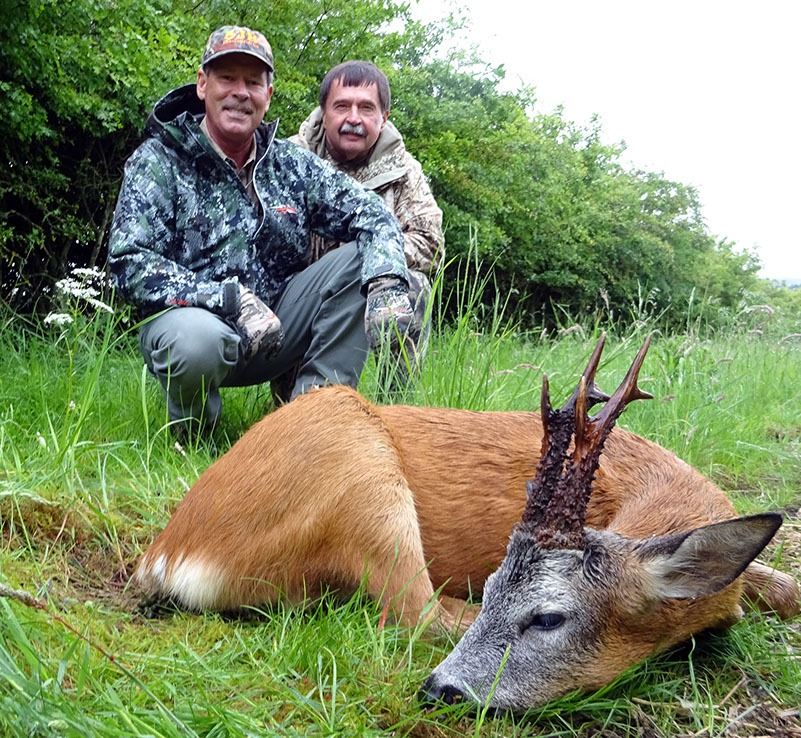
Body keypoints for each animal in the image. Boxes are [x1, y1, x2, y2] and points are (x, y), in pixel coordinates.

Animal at [134, 335, 799, 710]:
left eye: (548, 618)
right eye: (501, 585)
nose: (440, 692)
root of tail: (167, 554)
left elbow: (785, 585)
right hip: (359, 467)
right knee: (415, 610)